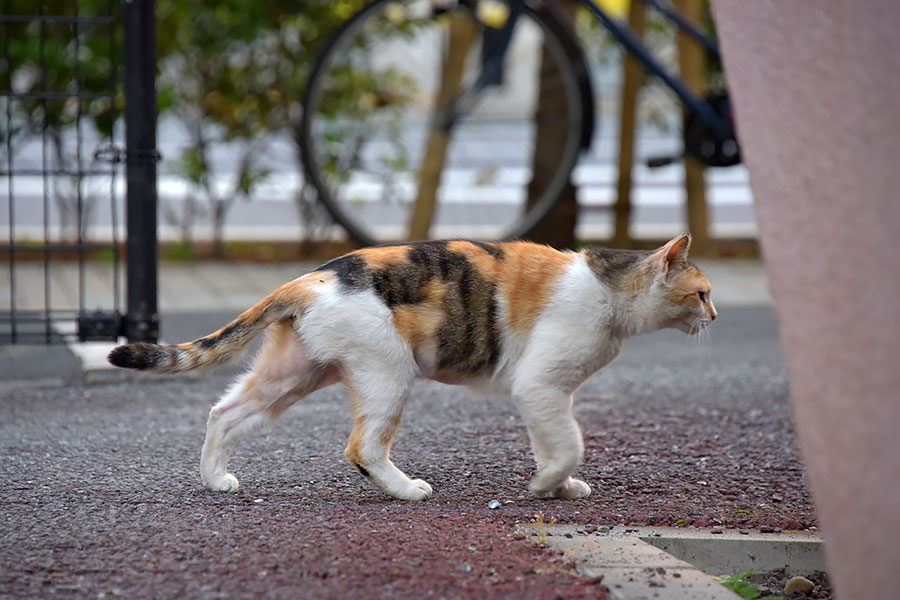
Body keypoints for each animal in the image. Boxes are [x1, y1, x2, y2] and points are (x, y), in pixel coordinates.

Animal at [109, 234, 716, 502]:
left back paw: (215, 480)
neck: (611, 290)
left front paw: (558, 488)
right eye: (703, 293)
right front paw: (547, 485)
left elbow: (554, 442)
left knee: (224, 412)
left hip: (293, 376)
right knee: (362, 448)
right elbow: (569, 443)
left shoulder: (547, 397)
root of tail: (313, 276)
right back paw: (405, 490)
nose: (715, 315)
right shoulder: (540, 385)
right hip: (388, 375)